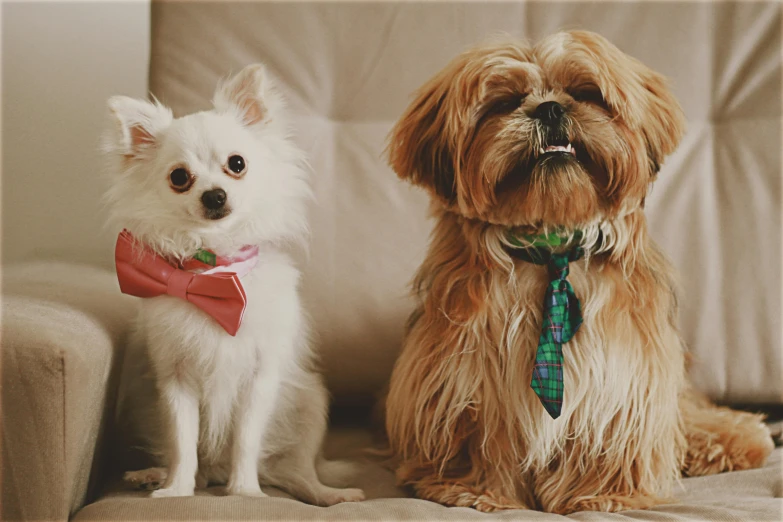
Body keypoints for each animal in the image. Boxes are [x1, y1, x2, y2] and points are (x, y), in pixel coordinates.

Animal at [102, 62, 366, 504]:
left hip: (311, 403)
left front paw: (244, 492)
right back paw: (155, 475)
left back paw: (329, 495)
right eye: (179, 177)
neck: (215, 274)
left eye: (237, 164)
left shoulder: (259, 380)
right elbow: (182, 441)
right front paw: (176, 490)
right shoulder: (175, 381)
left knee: (297, 473)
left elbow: (246, 440)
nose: (214, 195)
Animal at [382, 29, 776, 512]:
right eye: (504, 101)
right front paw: (477, 490)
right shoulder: (467, 372)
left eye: (586, 92)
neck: (552, 245)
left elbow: (608, 431)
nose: (550, 107)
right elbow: (485, 435)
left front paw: (600, 494)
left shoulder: (624, 371)